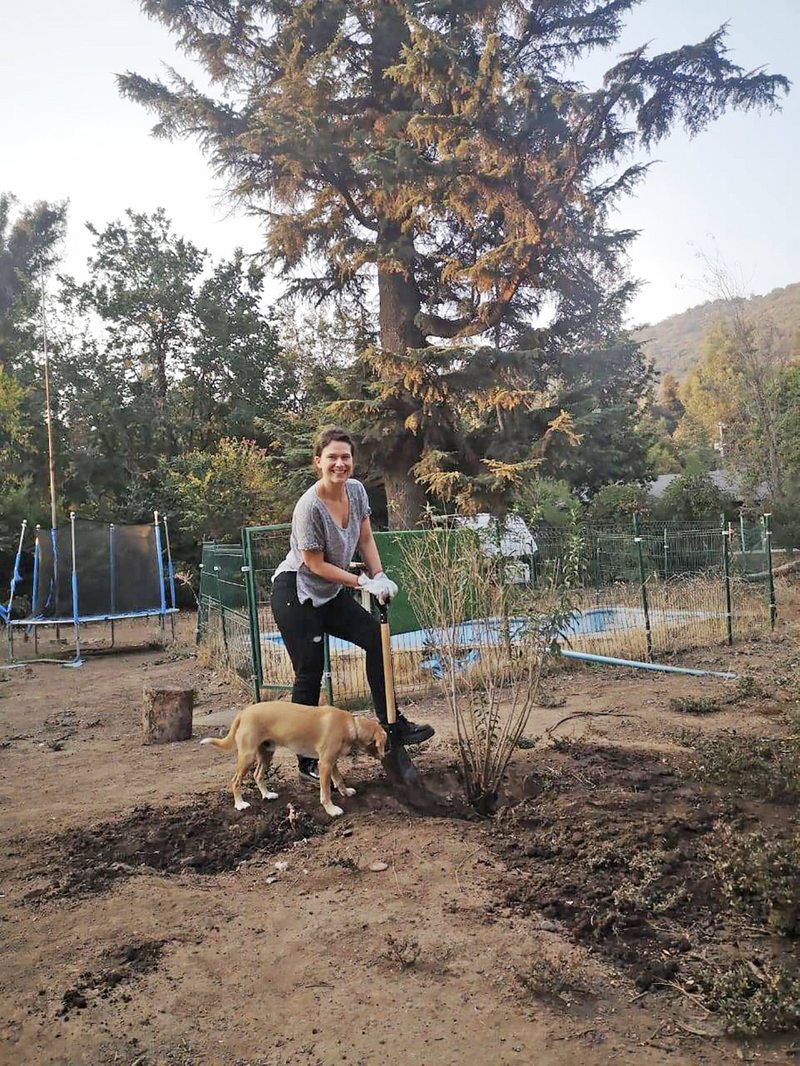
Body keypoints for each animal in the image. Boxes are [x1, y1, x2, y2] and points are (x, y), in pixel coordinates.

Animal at [200, 699, 388, 814]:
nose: (386, 755)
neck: (352, 725)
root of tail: (243, 713)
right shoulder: (325, 763)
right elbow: (326, 791)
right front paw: (331, 809)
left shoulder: (332, 762)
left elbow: (339, 779)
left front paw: (346, 791)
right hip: (248, 756)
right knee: (235, 781)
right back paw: (239, 804)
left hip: (266, 753)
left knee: (257, 775)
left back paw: (267, 795)